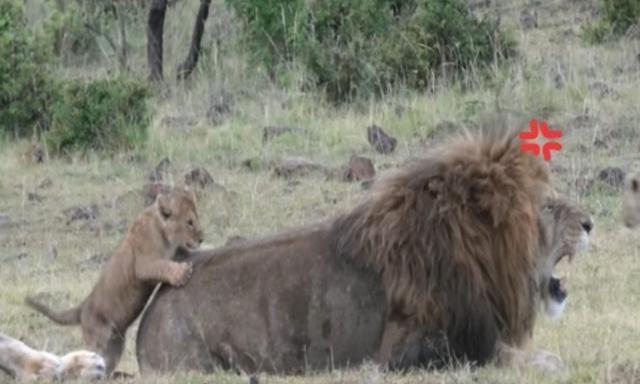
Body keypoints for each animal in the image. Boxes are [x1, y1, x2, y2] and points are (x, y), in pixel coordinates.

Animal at [138, 131, 592, 376]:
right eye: (548, 206)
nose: (590, 223)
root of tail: (151, 310)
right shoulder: (407, 351)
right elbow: (503, 355)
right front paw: (550, 363)